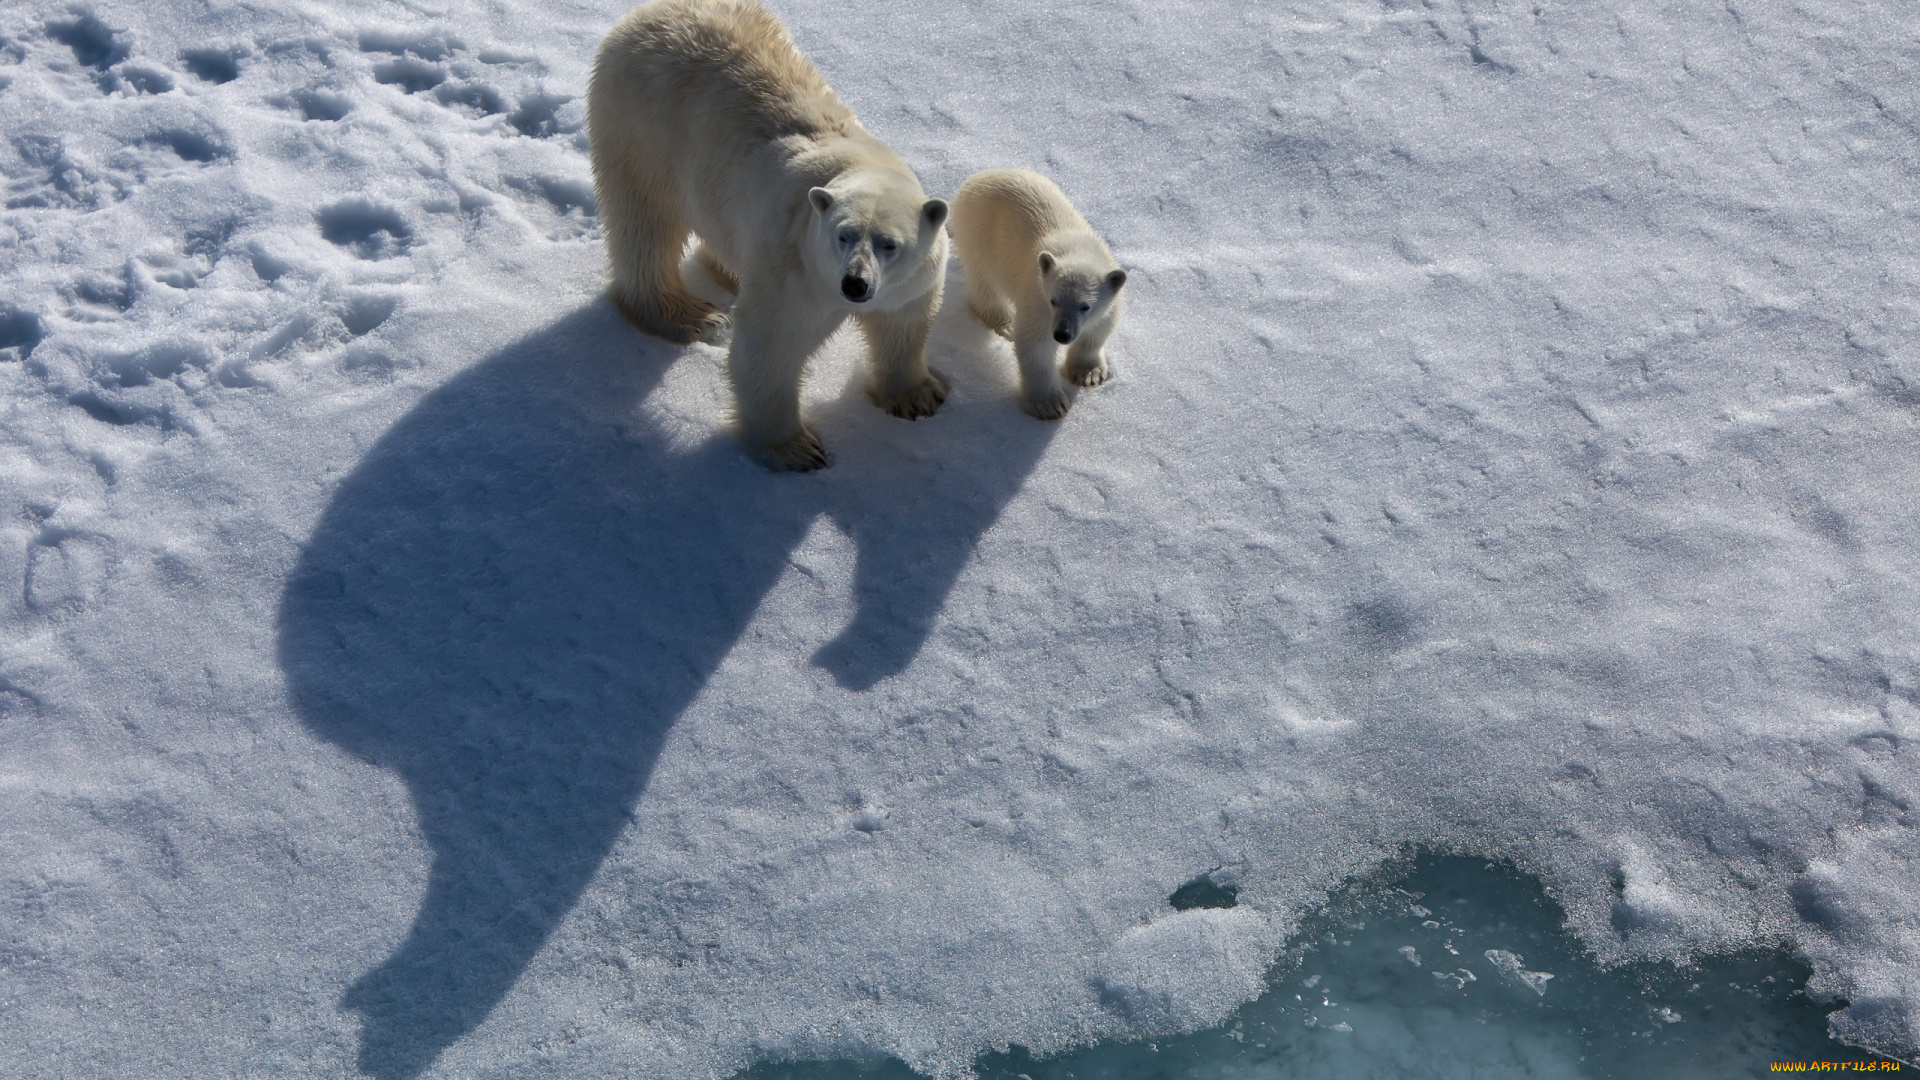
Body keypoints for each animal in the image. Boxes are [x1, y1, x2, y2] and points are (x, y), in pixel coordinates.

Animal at [583, 1, 944, 470]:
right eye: (842, 236)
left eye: (890, 244)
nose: (856, 284)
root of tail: (643, 15)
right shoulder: (795, 271)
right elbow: (770, 348)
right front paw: (797, 449)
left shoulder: (910, 280)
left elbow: (904, 323)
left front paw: (918, 396)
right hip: (641, 129)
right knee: (645, 223)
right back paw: (688, 315)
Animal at [948, 170, 1121, 418]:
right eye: (1054, 301)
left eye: (1085, 306)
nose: (1062, 334)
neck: (1078, 252)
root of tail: (973, 179)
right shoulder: (1038, 300)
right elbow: (1035, 346)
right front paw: (1049, 404)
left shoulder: (1108, 300)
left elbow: (1098, 330)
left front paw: (1089, 373)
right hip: (979, 231)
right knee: (985, 281)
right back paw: (1005, 324)